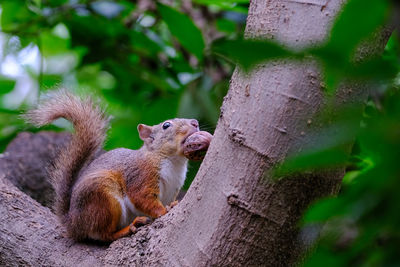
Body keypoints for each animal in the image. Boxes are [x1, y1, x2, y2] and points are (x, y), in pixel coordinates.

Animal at [25, 90, 208, 243]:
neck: (173, 161)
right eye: (166, 125)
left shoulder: (174, 187)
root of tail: (73, 223)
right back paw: (128, 228)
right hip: (104, 198)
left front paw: (172, 206)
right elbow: (143, 198)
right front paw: (163, 212)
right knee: (103, 234)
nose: (195, 122)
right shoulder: (141, 174)